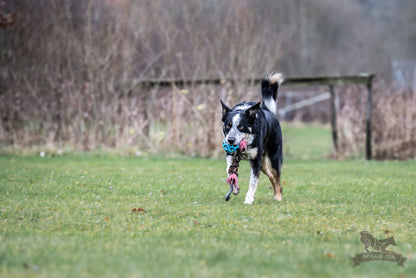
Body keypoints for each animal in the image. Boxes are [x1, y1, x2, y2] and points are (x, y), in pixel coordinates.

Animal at [221, 72, 282, 204]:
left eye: (241, 127)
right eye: (228, 126)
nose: (230, 140)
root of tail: (268, 111)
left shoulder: (255, 162)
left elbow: (253, 182)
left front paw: (248, 199)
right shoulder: (230, 155)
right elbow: (229, 169)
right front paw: (235, 188)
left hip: (275, 157)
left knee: (277, 178)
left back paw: (279, 196)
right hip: (263, 164)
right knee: (271, 176)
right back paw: (275, 194)